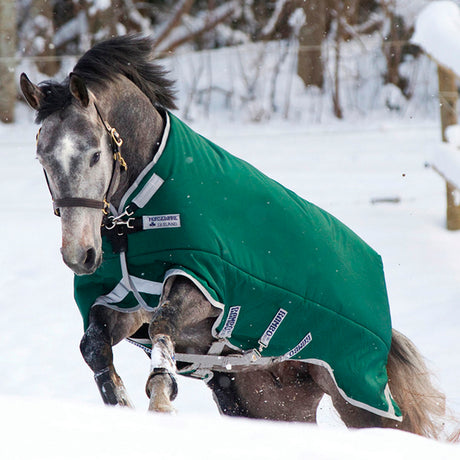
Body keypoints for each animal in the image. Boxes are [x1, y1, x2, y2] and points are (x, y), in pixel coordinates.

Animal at [20, 36, 446, 438]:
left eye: (94, 154)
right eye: (42, 158)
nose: (80, 255)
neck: (138, 210)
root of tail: (386, 333)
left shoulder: (203, 287)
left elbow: (162, 329)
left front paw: (162, 400)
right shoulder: (125, 298)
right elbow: (94, 346)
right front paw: (122, 405)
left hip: (358, 400)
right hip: (272, 405)